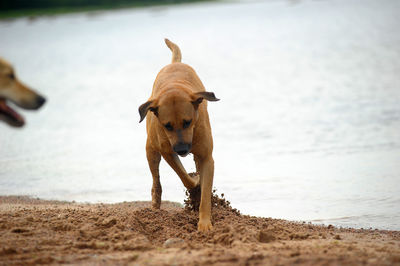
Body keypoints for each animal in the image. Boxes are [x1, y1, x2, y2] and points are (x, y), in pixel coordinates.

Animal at [138, 38, 219, 232]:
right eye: (167, 125)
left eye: (187, 122)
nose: (182, 149)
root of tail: (174, 64)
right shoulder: (168, 152)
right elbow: (184, 176)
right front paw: (195, 182)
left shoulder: (207, 157)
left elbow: (205, 193)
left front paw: (204, 223)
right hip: (151, 151)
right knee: (156, 182)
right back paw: (155, 205)